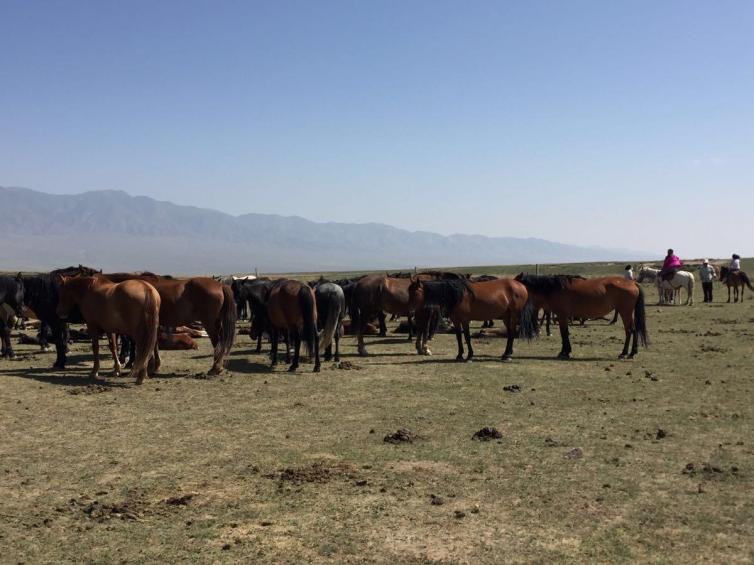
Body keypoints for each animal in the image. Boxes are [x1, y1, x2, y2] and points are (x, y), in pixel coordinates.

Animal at [101, 270, 234, 372]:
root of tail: (220, 285)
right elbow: (153, 343)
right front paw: (154, 365)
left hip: (209, 322)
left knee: (217, 341)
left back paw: (215, 368)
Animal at [408, 276, 536, 362]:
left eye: (415, 293)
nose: (411, 312)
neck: (457, 296)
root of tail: (521, 286)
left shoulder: (465, 320)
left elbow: (467, 337)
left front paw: (469, 356)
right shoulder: (456, 321)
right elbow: (459, 338)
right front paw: (459, 355)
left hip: (513, 316)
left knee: (512, 333)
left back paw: (507, 356)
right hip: (506, 316)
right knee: (510, 333)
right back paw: (506, 354)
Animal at [516, 274, 648, 362]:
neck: (554, 288)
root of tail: (632, 283)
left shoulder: (562, 316)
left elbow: (564, 334)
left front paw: (564, 352)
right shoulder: (563, 316)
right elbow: (565, 333)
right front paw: (566, 351)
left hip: (625, 312)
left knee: (630, 331)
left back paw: (624, 353)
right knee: (634, 330)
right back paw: (632, 353)